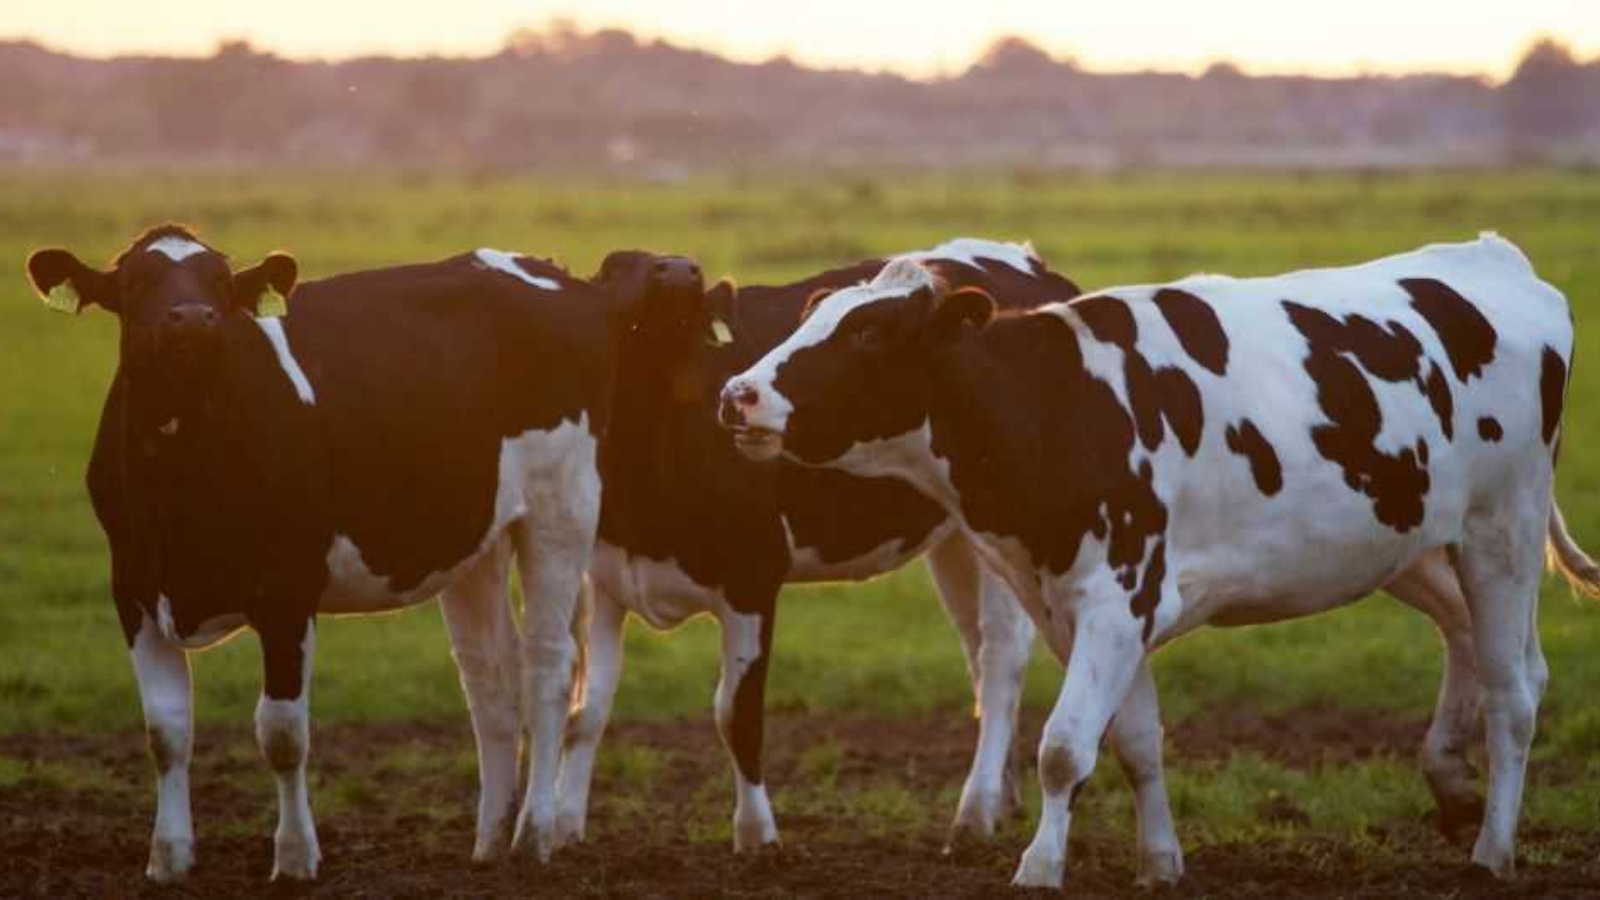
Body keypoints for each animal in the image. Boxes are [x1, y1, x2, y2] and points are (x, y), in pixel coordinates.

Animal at [21, 224, 704, 877]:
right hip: (475, 540)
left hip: (560, 508)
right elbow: (165, 730)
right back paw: (488, 841)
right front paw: (168, 858)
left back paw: (533, 835)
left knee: (548, 668)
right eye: (134, 284)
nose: (191, 318)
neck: (181, 479)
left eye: (219, 281)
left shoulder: (287, 591)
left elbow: (282, 733)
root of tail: (567, 280)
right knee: (489, 678)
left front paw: (296, 857)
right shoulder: (133, 589)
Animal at [553, 238, 1088, 845]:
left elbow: (737, 715)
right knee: (977, 653)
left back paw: (974, 812)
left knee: (1000, 659)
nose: (681, 271)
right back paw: (1002, 796)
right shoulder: (606, 579)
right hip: (957, 541)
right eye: (613, 268)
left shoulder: (753, 578)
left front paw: (757, 835)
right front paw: (563, 828)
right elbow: (586, 711)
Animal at [726, 235, 1600, 883]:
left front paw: (1038, 869)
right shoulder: (1084, 609)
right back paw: (1452, 787)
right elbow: (1134, 743)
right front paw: (1159, 862)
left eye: (868, 333)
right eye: (813, 317)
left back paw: (1492, 851)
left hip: (1502, 528)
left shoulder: (1118, 599)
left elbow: (1063, 748)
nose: (737, 394)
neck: (1058, 404)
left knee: (1515, 691)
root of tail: (1494, 257)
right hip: (1407, 540)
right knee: (1482, 645)